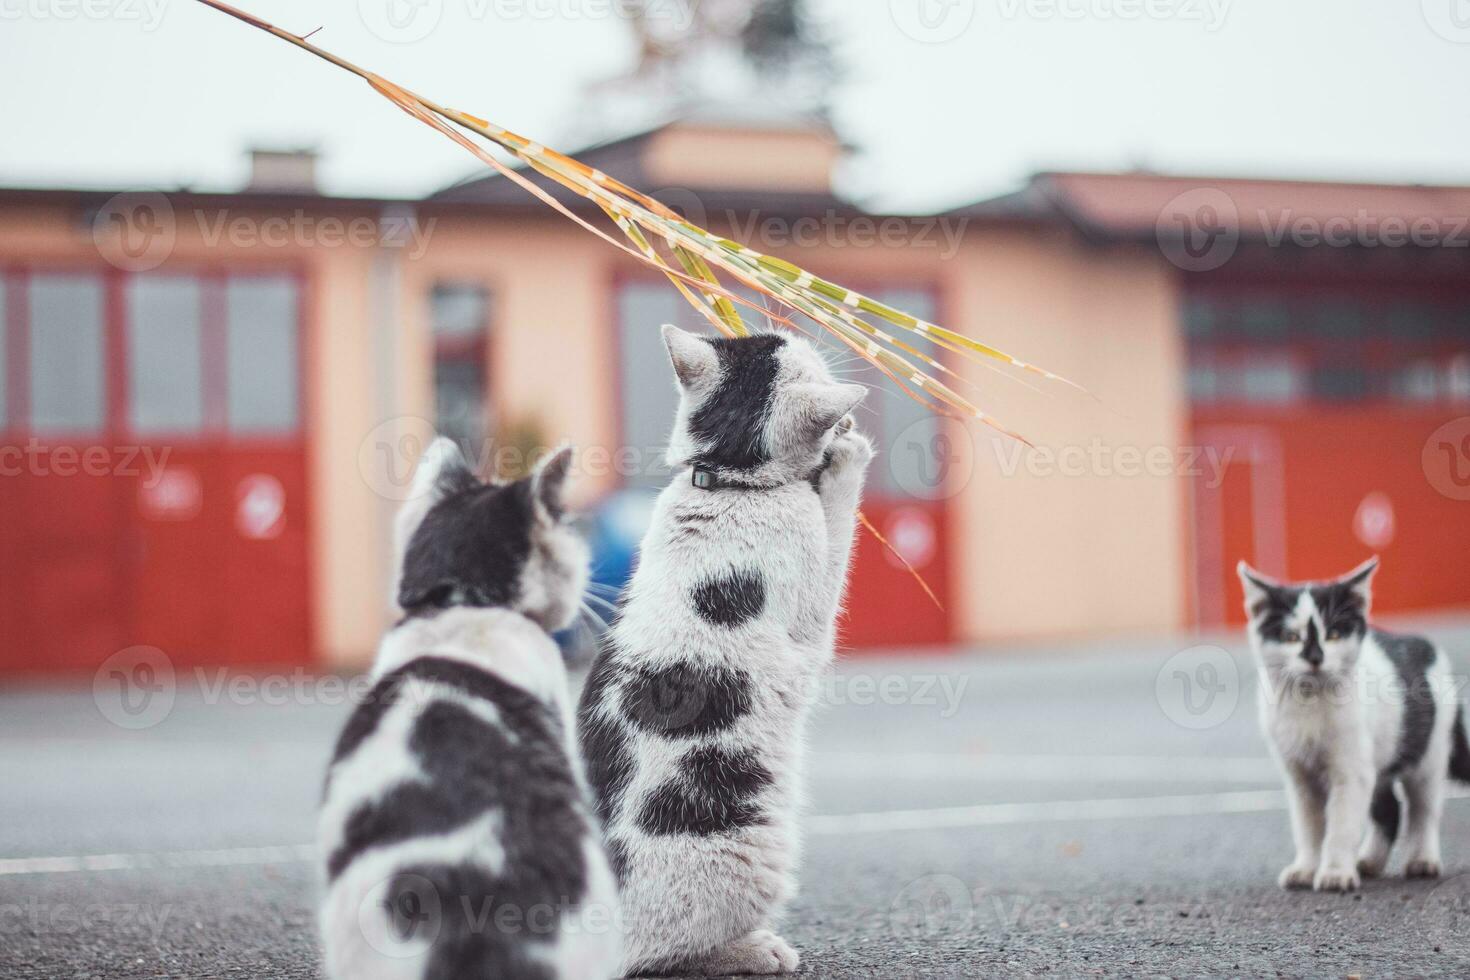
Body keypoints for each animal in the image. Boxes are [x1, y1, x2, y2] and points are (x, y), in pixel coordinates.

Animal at [576, 323, 870, 975]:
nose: (804, 330)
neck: (727, 481)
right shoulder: (812, 615)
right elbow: (837, 532)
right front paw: (847, 452)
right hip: (750, 851)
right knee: (667, 955)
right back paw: (755, 950)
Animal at [1240, 555, 1470, 893]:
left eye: (1334, 634)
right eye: (1291, 637)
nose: (1315, 657)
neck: (1310, 705)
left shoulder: (1351, 773)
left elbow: (1341, 826)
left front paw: (1335, 873)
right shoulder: (1299, 776)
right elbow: (1308, 827)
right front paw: (1306, 868)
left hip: (1428, 753)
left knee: (1423, 809)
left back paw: (1422, 860)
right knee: (1390, 810)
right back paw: (1370, 862)